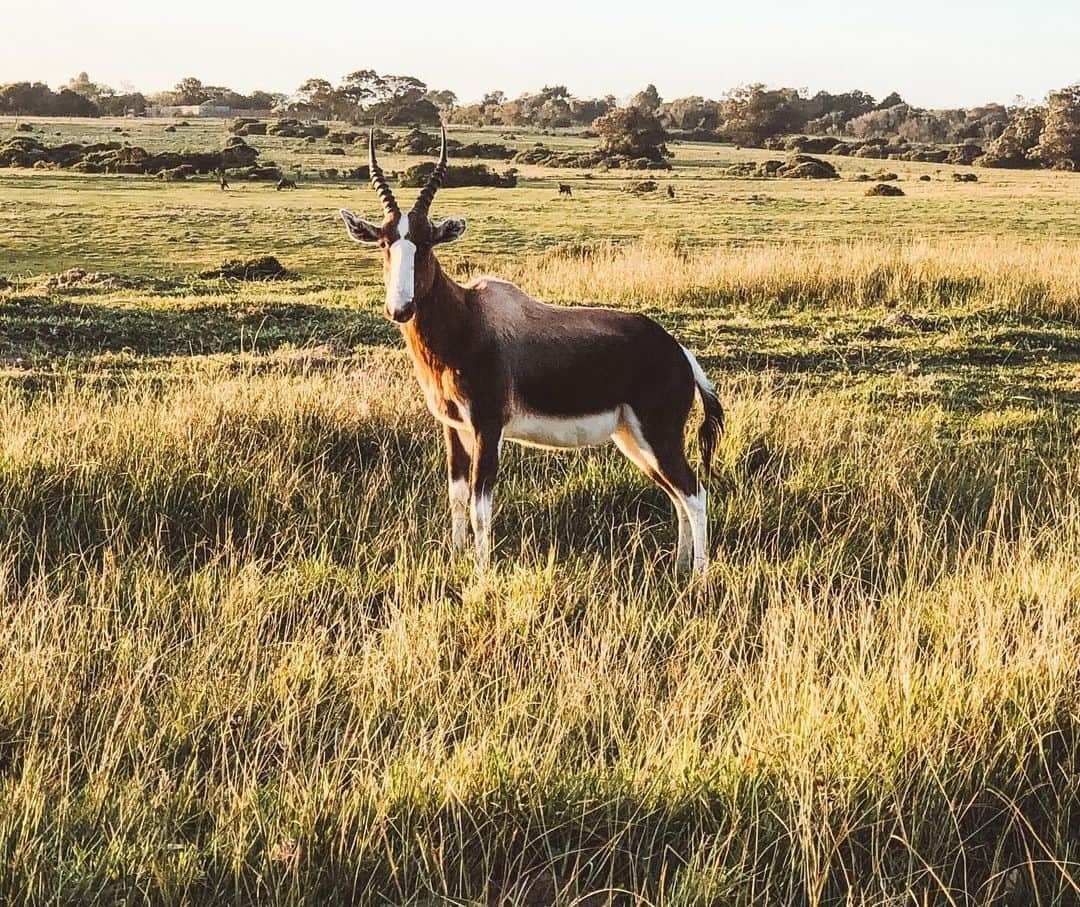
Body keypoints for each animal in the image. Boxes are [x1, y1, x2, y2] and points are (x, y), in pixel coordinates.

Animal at [336, 127, 725, 574]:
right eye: (385, 242)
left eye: (427, 242)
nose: (400, 308)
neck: (469, 318)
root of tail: (678, 352)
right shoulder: (453, 428)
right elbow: (456, 497)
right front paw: (456, 559)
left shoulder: (488, 427)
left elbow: (480, 507)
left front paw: (480, 572)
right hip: (633, 439)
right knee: (677, 496)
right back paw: (678, 566)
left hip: (657, 435)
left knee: (695, 493)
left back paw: (698, 574)